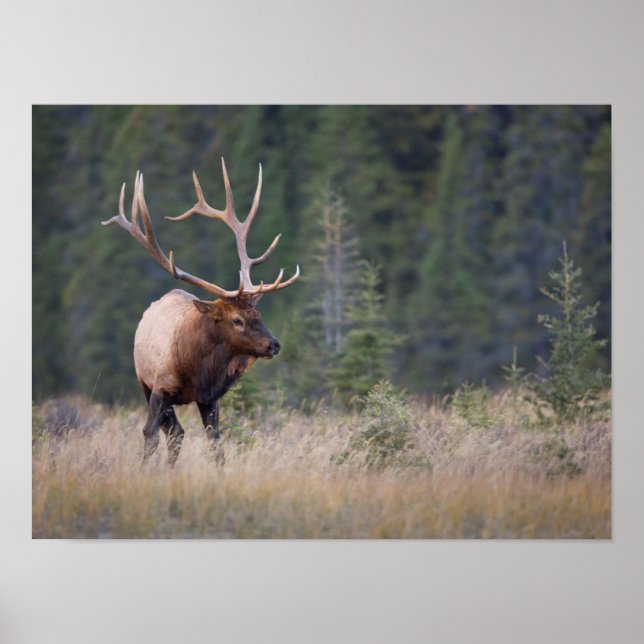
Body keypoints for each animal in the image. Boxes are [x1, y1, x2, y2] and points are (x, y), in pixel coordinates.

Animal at [102, 159, 299, 465]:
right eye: (237, 319)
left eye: (259, 316)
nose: (274, 344)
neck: (195, 369)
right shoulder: (159, 388)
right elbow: (149, 435)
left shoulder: (210, 398)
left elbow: (215, 443)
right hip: (144, 382)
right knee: (171, 432)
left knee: (177, 433)